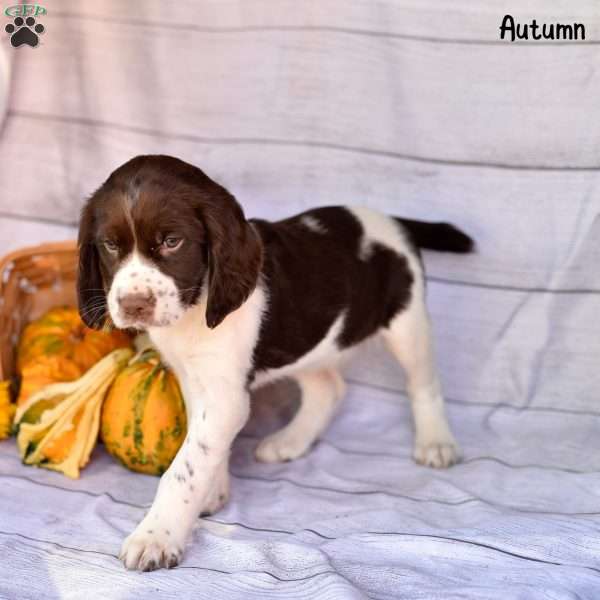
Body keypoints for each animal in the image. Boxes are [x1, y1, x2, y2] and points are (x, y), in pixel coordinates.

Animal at [78, 152, 474, 568]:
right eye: (110, 245)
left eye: (172, 242)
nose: (133, 304)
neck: (194, 307)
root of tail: (391, 220)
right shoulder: (195, 379)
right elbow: (204, 446)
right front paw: (213, 491)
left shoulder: (225, 395)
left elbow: (185, 468)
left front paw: (156, 536)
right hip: (309, 339)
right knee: (328, 388)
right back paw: (291, 441)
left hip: (407, 325)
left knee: (423, 383)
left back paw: (436, 442)